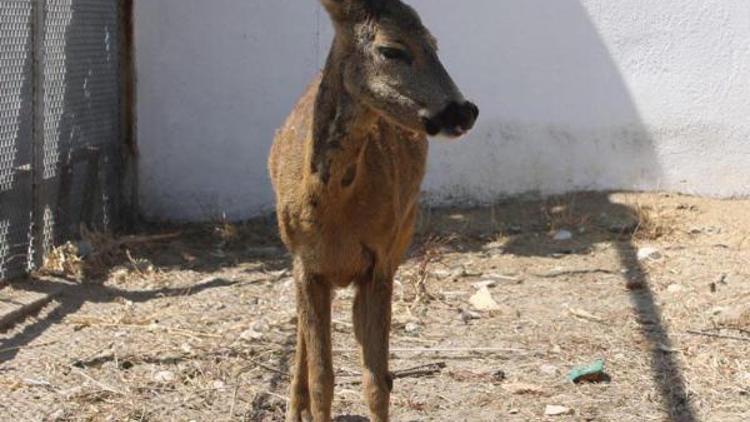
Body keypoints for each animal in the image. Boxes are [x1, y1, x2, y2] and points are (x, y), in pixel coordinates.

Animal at [270, 1, 478, 420]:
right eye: (392, 49)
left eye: (434, 43)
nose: (465, 111)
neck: (334, 209)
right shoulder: (305, 263)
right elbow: (323, 380)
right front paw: (307, 402)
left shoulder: (380, 260)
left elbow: (376, 383)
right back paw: (294, 407)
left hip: (404, 232)